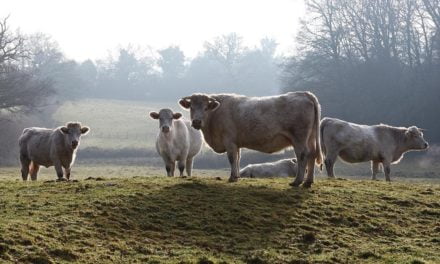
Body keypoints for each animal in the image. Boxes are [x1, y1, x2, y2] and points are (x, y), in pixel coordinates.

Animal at [179, 93, 324, 188]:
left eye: (205, 108)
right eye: (191, 107)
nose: (196, 122)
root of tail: (304, 94)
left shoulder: (229, 141)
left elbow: (232, 158)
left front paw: (232, 177)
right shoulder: (236, 143)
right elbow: (238, 159)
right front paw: (237, 176)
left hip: (299, 138)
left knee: (302, 155)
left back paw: (297, 181)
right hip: (310, 138)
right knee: (312, 155)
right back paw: (308, 182)